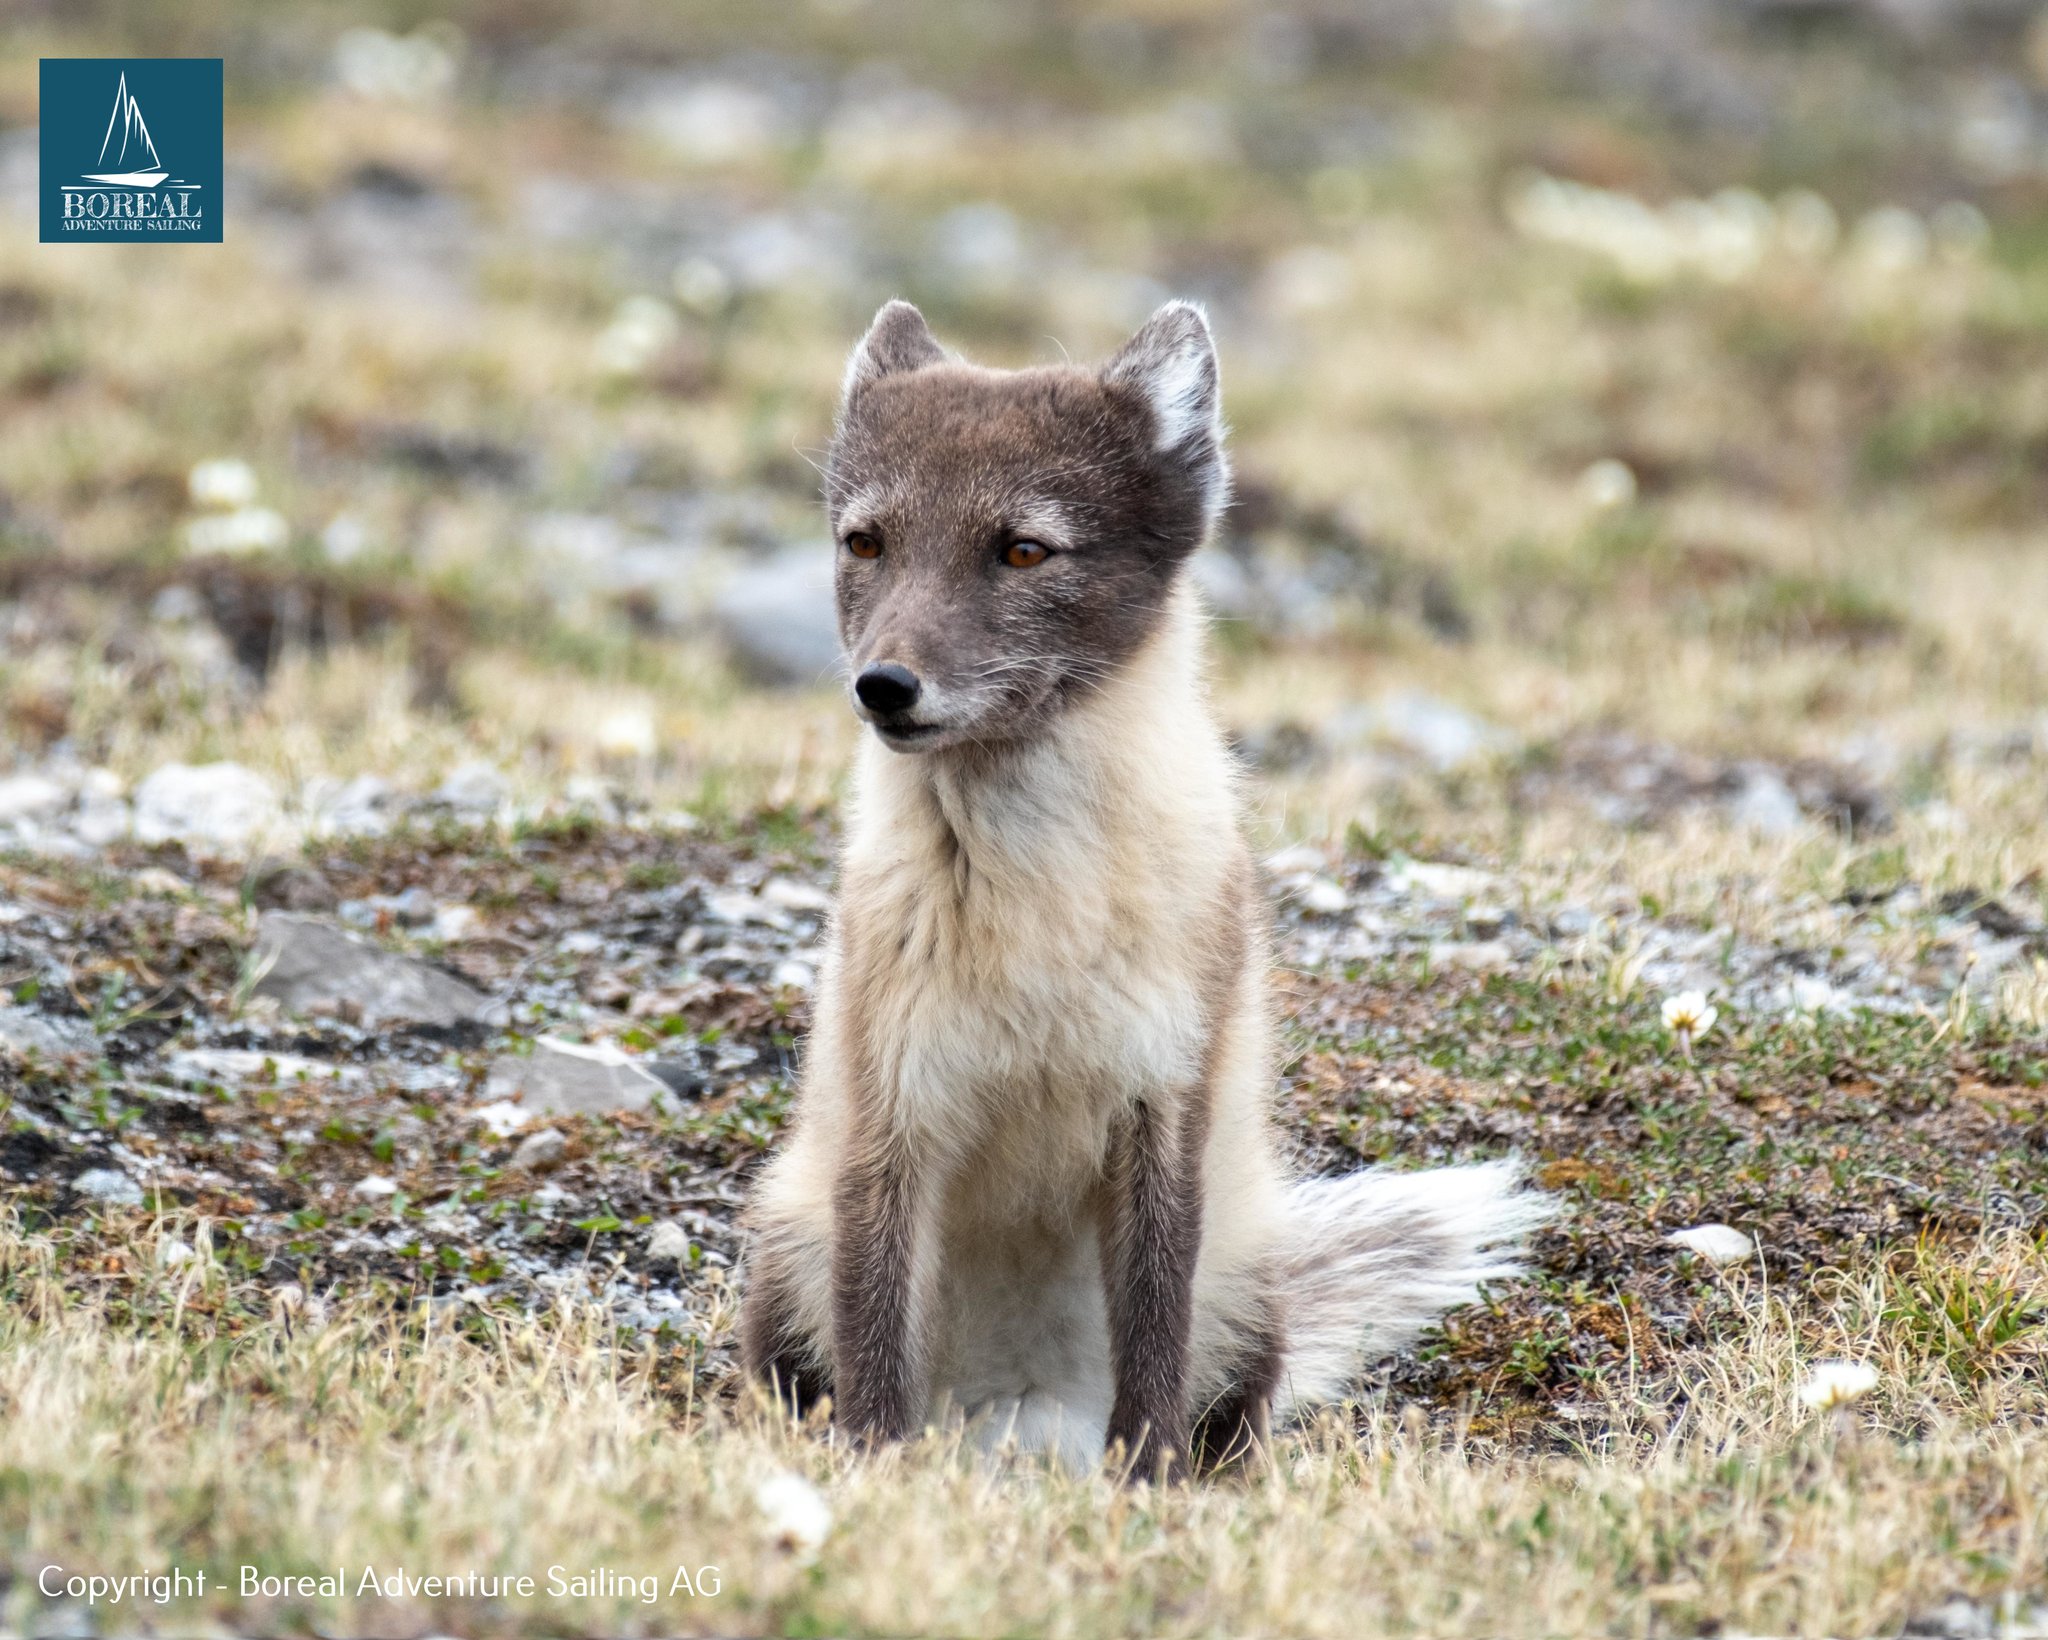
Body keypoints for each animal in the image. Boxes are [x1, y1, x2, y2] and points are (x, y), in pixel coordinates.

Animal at [738, 297, 1549, 1478]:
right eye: (866, 542)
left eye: (1023, 548)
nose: (882, 686)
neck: (1033, 916)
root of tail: (1013, 1423)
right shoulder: (891, 1109)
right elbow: (874, 1326)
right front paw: (874, 1468)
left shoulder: (1166, 1097)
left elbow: (1153, 1321)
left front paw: (1150, 1480)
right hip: (785, 1239)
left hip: (1248, 1284)